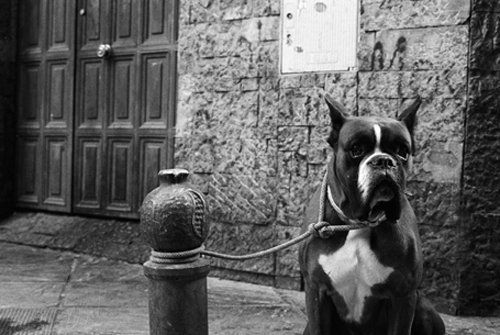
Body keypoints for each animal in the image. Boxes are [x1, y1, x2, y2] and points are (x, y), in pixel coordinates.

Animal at [298, 95, 444, 335]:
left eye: (402, 151)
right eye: (356, 149)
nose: (383, 160)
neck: (359, 223)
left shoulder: (404, 296)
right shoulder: (316, 291)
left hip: (424, 308)